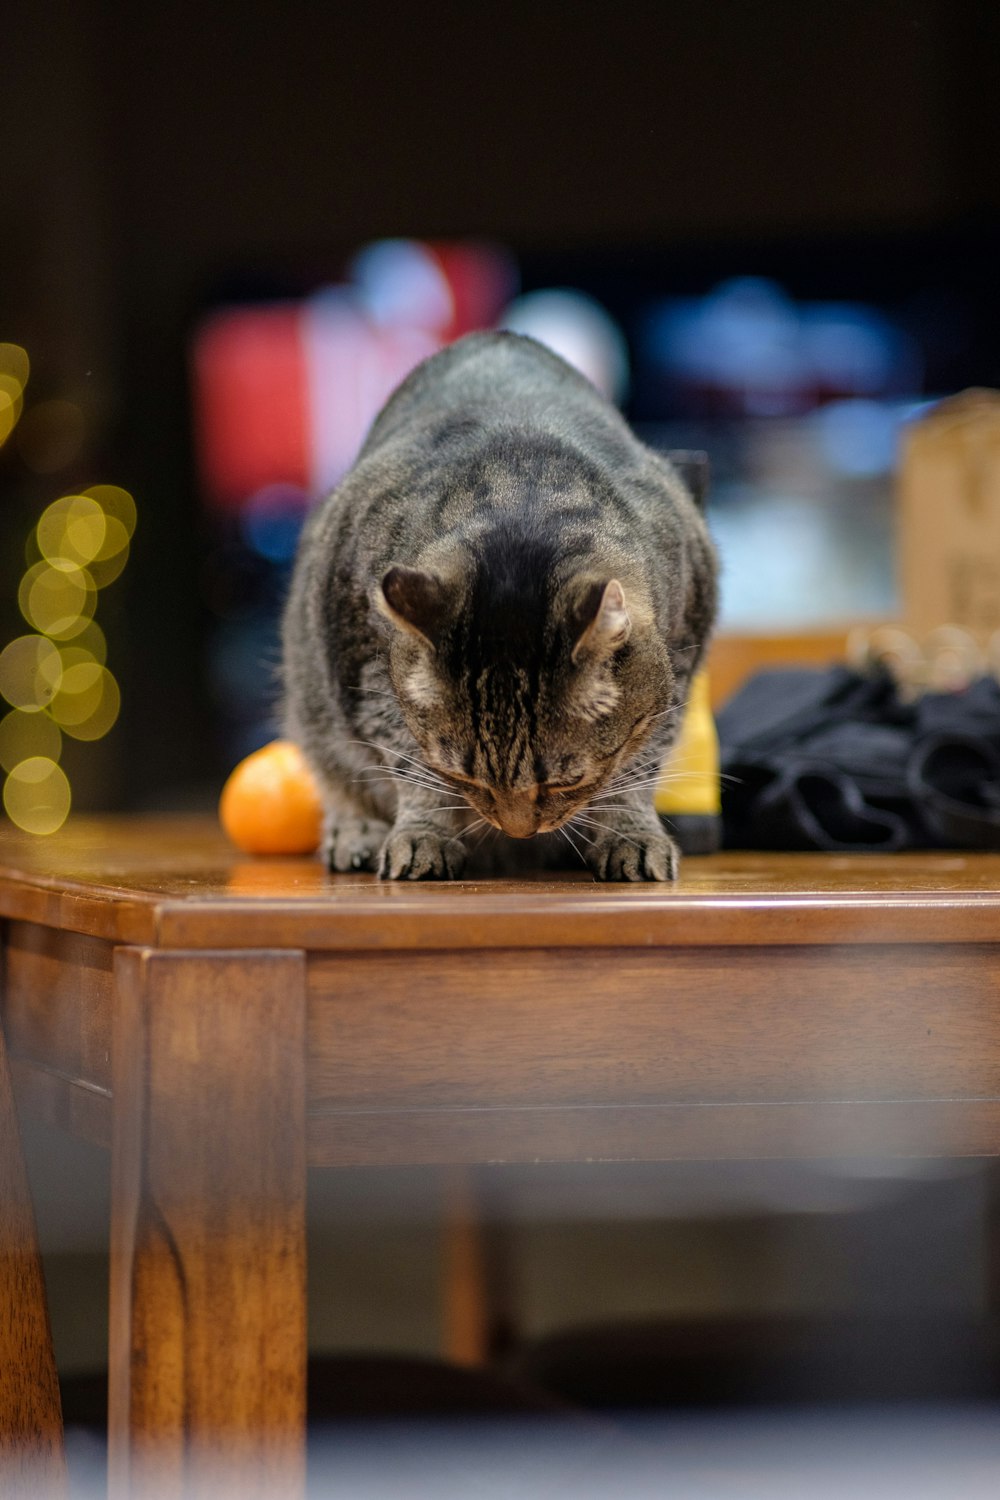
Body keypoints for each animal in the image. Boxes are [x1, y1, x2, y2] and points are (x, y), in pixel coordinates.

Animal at [281, 331, 719, 876]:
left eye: (567, 781)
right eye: (464, 776)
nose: (517, 829)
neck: (522, 502)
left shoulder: (681, 655)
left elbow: (637, 763)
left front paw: (629, 831)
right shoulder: (366, 669)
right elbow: (410, 763)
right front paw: (424, 833)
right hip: (311, 692)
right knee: (335, 770)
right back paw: (355, 831)